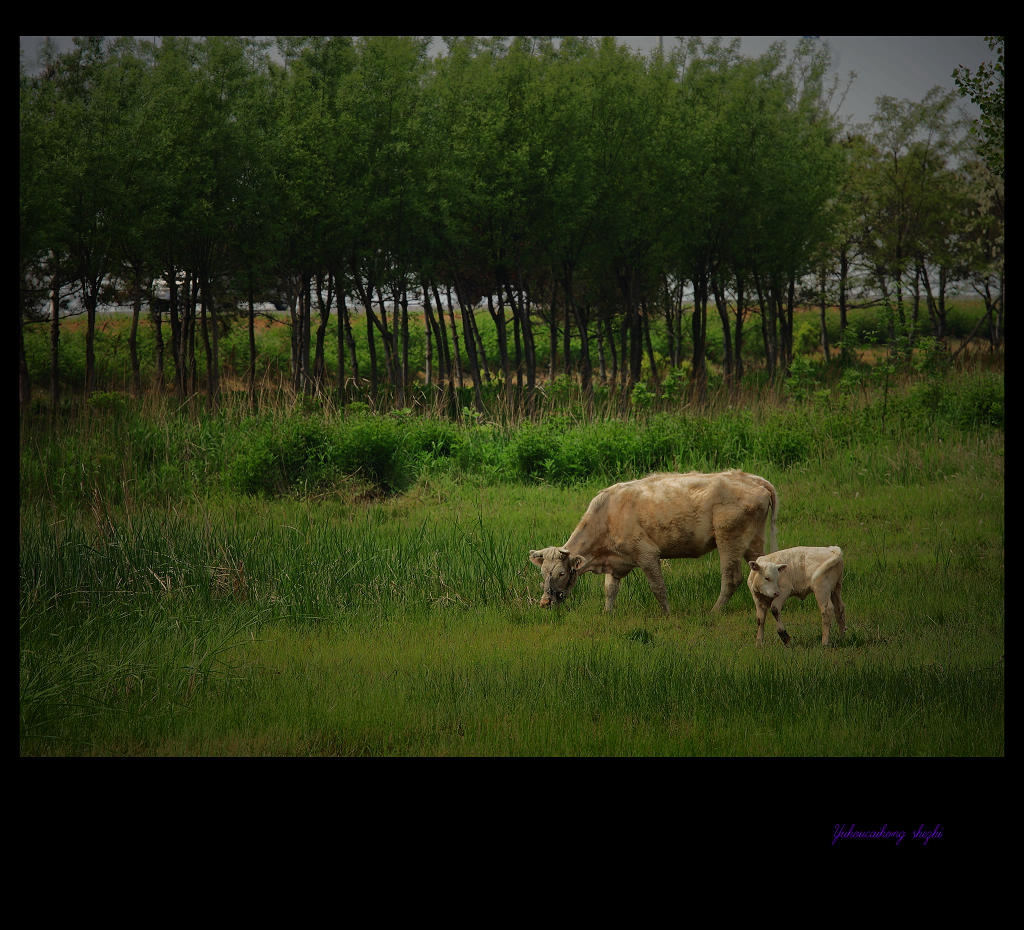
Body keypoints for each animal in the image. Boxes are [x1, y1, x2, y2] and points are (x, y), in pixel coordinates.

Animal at [528, 469, 774, 614]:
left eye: (561, 573)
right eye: (542, 573)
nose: (544, 602)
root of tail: (755, 479)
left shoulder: (647, 554)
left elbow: (658, 588)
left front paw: (667, 614)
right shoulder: (616, 564)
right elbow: (610, 590)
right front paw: (608, 614)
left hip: (729, 538)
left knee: (731, 578)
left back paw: (714, 612)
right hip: (754, 542)